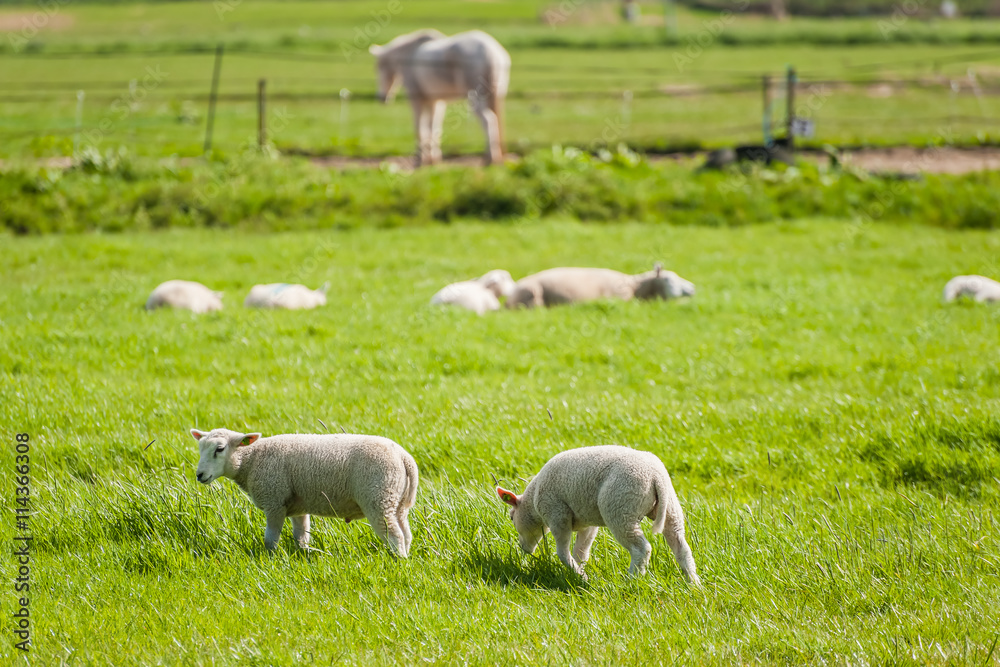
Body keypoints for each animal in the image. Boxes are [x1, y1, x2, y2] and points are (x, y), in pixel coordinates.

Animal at [192, 427, 419, 556]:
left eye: (219, 449)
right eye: (200, 448)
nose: (199, 475)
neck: (252, 459)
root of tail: (404, 457)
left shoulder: (274, 501)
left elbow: (270, 540)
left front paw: (270, 559)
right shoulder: (297, 507)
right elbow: (301, 537)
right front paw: (303, 555)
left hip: (378, 497)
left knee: (395, 535)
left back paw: (397, 561)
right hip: (397, 501)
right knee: (406, 534)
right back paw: (405, 560)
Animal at [496, 445, 700, 585]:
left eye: (512, 517)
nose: (524, 549)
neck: (533, 502)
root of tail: (655, 476)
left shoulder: (557, 514)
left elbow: (563, 552)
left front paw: (581, 577)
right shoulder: (587, 523)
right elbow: (581, 552)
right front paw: (578, 572)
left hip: (620, 507)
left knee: (641, 548)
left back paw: (632, 580)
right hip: (670, 508)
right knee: (681, 546)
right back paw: (693, 583)